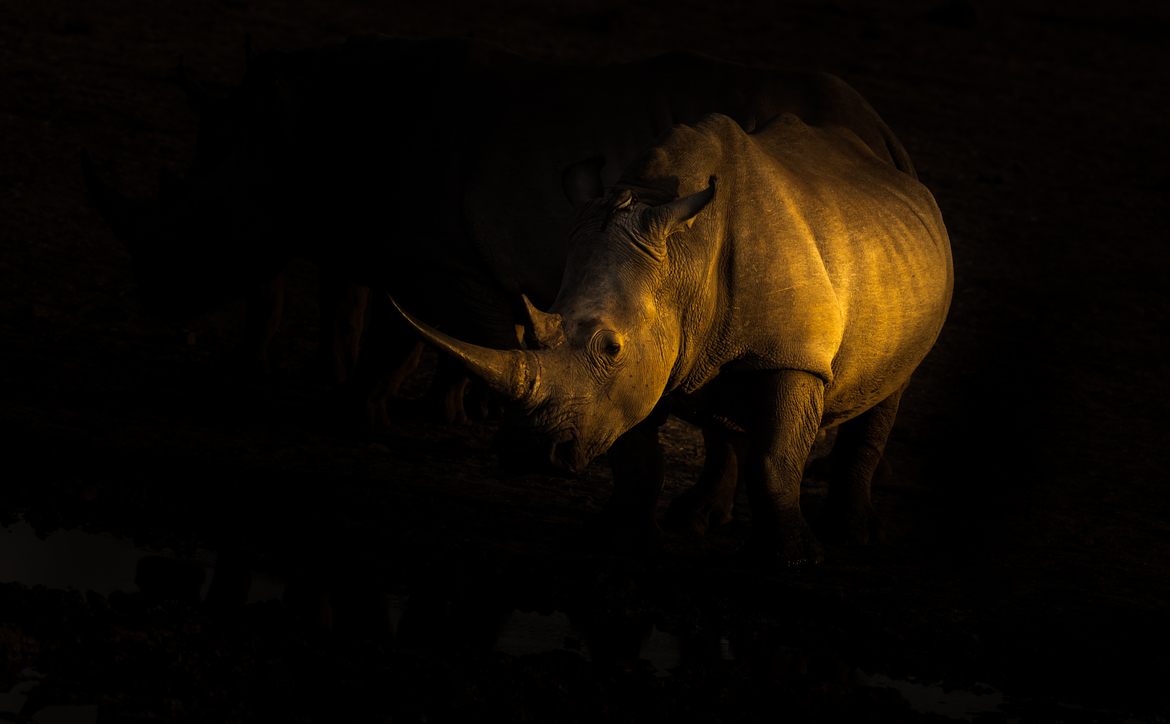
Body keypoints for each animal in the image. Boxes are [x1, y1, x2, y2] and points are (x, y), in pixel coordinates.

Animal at [396, 111, 953, 565]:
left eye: (611, 347)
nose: (529, 452)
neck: (685, 257)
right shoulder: (637, 371)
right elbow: (634, 454)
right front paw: (618, 543)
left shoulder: (790, 355)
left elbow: (775, 459)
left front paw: (791, 561)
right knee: (724, 401)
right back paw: (693, 521)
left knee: (889, 389)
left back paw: (850, 538)